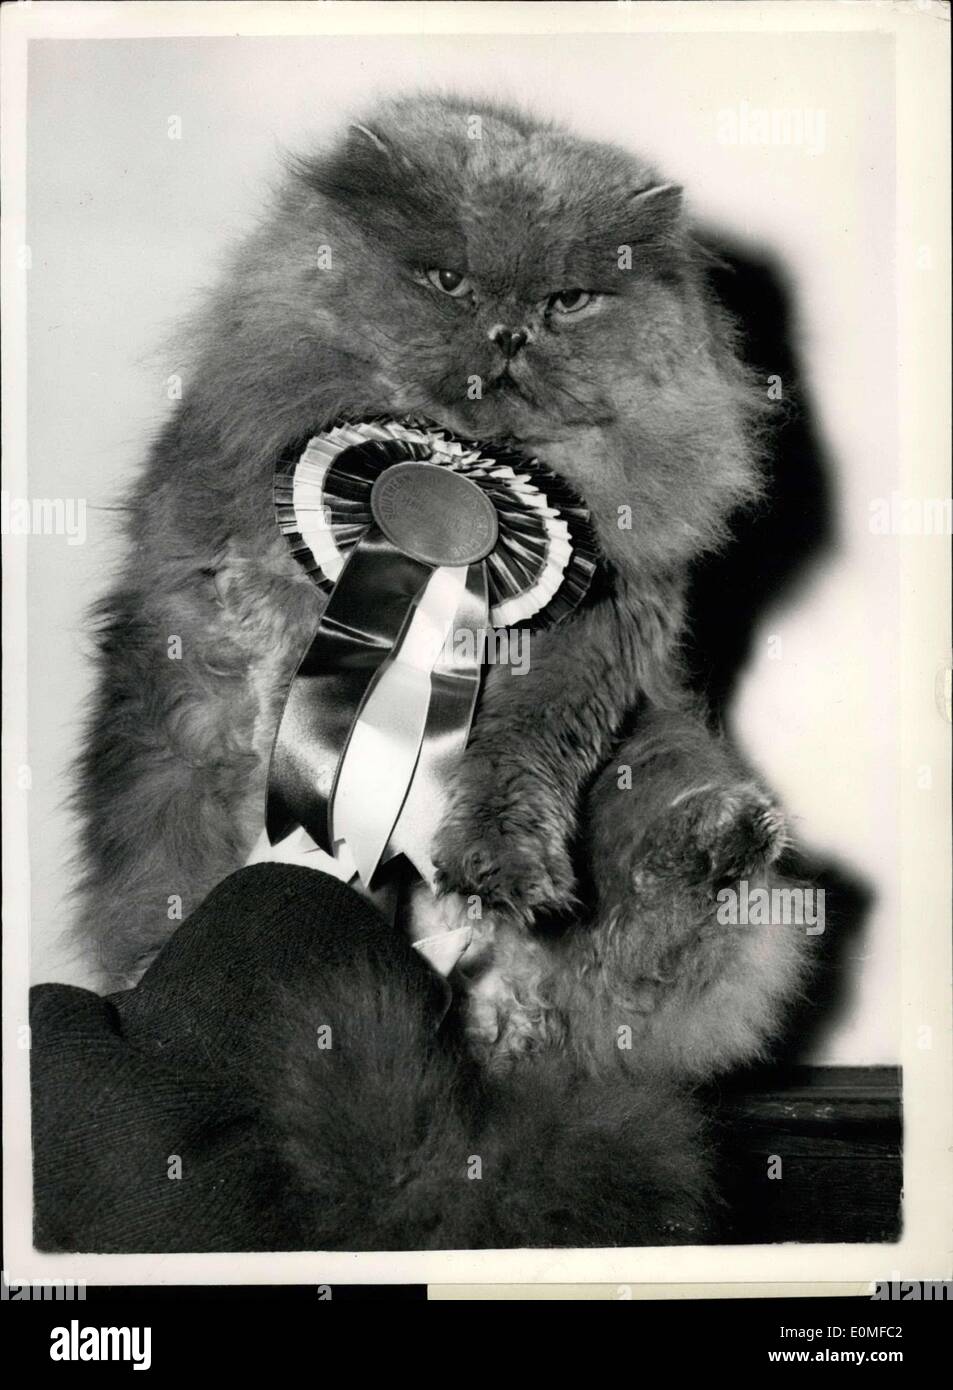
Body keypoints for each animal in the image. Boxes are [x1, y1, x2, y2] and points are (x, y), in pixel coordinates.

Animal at [72, 95, 805, 1251]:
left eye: (566, 301)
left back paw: (713, 842)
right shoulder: (248, 581)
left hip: (661, 786)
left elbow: (515, 772)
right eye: (448, 281)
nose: (506, 333)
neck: (455, 472)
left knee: (647, 933)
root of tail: (472, 1098)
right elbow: (280, 683)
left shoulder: (589, 658)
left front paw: (495, 866)